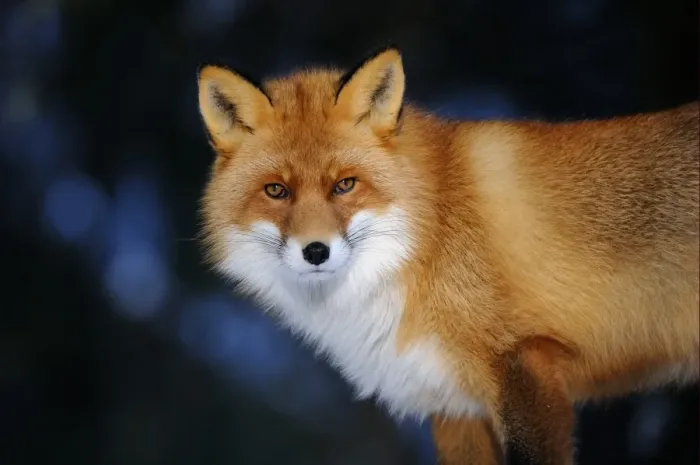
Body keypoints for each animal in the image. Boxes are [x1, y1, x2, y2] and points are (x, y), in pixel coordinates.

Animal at [196, 46, 699, 465]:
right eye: (276, 191)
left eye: (345, 185)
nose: (316, 252)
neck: (427, 238)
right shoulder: (455, 405)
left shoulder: (523, 364)